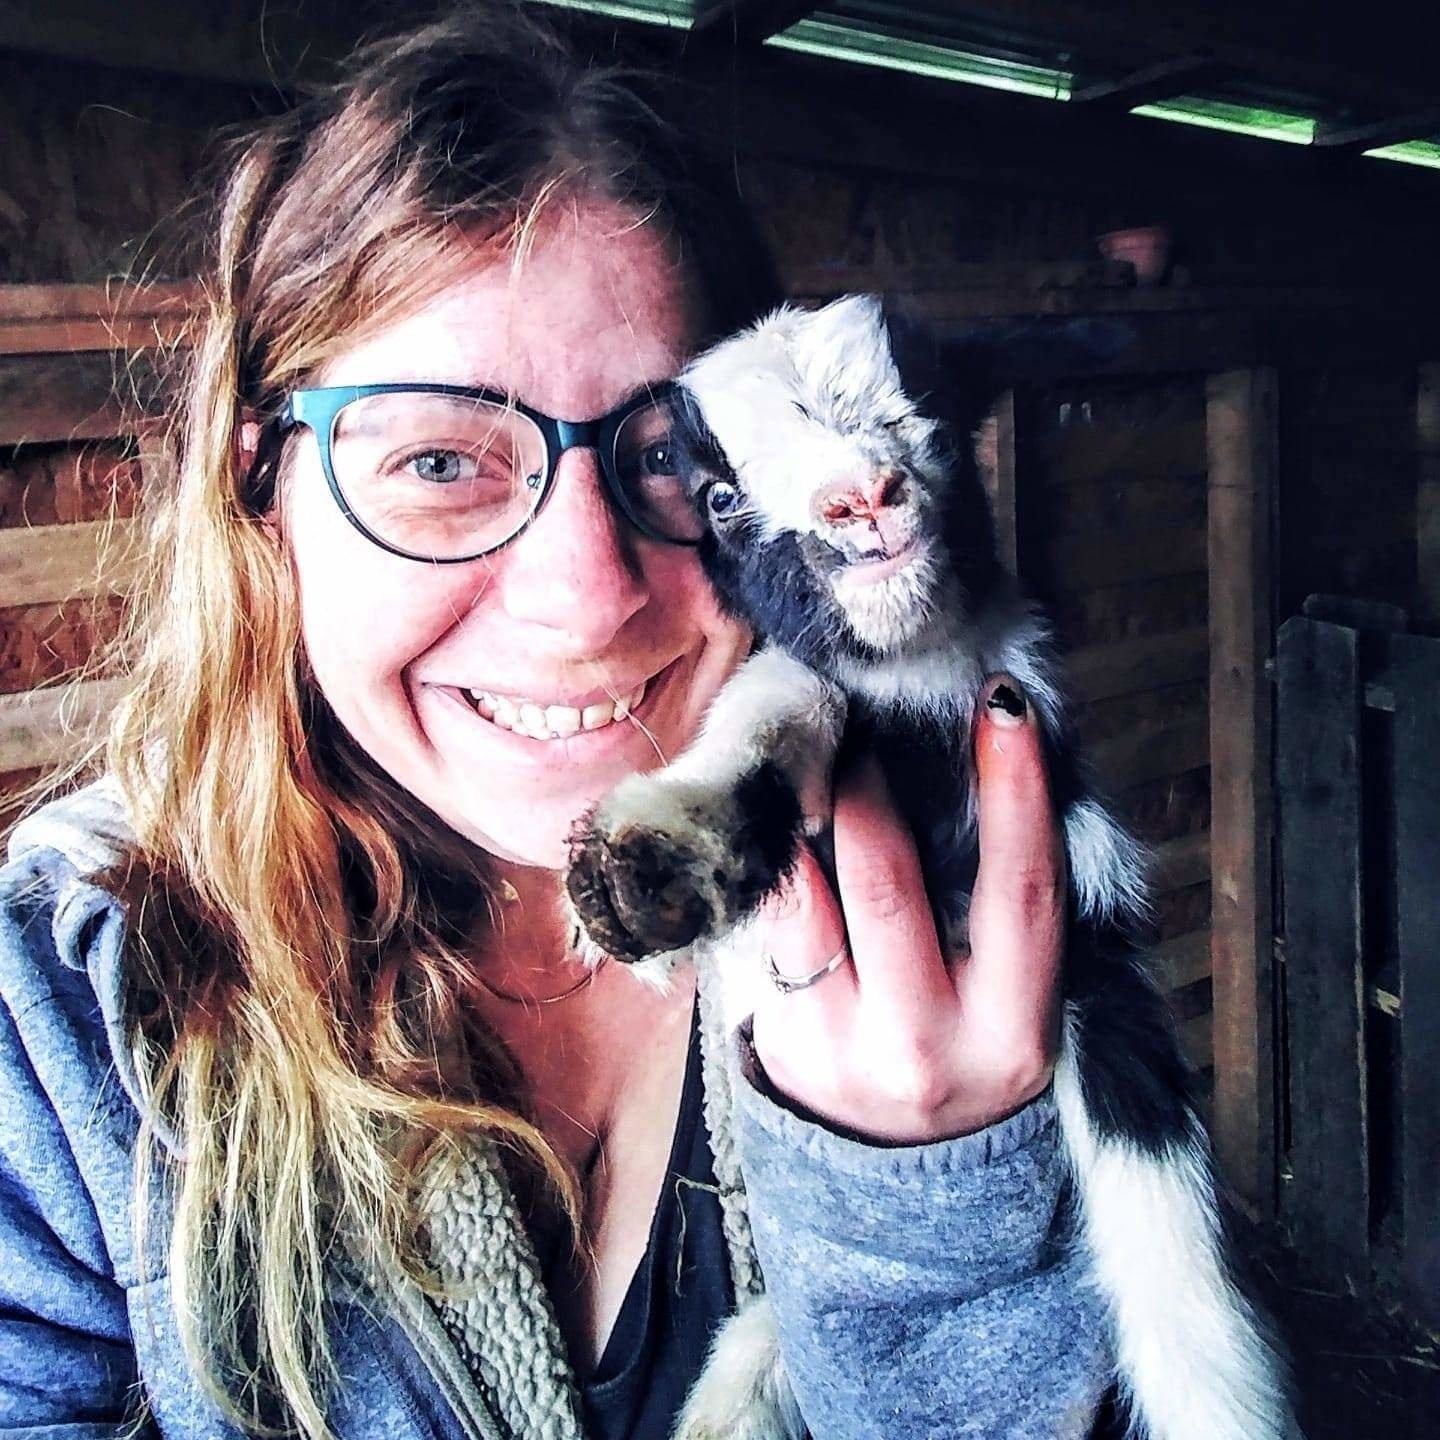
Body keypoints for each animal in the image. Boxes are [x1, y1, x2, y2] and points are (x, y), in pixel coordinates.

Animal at [567, 295, 1301, 1440]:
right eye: (720, 497)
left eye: (933, 412)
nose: (859, 499)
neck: (918, 691)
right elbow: (785, 700)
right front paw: (655, 868)